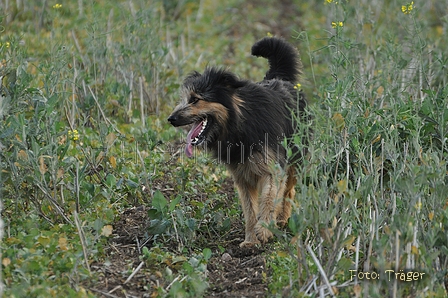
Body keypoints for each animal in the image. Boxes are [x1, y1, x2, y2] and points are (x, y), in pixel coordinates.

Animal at [168, 37, 308, 247]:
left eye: (195, 99)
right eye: (185, 99)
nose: (171, 119)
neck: (239, 125)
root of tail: (280, 79)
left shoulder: (272, 167)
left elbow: (269, 199)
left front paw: (264, 230)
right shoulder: (242, 176)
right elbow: (250, 210)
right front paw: (250, 241)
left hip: (296, 158)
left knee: (289, 191)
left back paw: (283, 219)